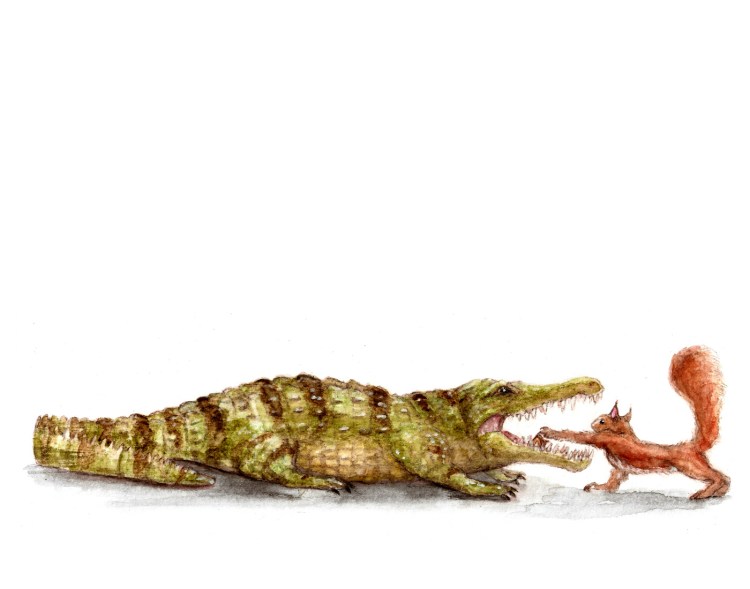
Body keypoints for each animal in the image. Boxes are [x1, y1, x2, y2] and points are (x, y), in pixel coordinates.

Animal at [536, 345, 730, 500]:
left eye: (602, 420)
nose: (591, 423)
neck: (625, 433)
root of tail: (691, 445)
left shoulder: (604, 439)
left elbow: (579, 436)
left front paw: (548, 431)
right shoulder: (620, 469)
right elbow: (613, 481)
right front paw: (598, 487)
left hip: (690, 466)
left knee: (719, 477)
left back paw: (704, 493)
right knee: (724, 477)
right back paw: (717, 492)